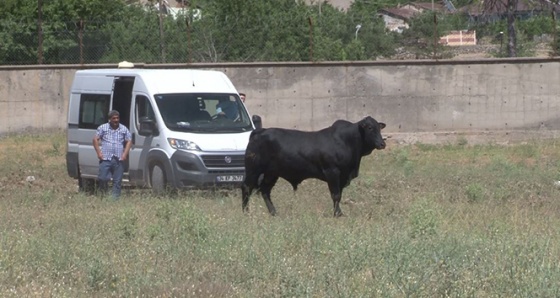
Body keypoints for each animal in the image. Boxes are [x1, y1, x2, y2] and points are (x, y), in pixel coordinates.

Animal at [241, 116, 384, 217]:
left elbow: (339, 195)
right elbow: (336, 195)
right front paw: (337, 214)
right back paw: (245, 212)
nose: (382, 143)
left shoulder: (343, 177)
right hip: (253, 170)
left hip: (271, 173)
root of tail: (260, 131)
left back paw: (274, 212)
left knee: (265, 190)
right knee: (246, 188)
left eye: (379, 127)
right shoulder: (332, 172)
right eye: (369, 128)